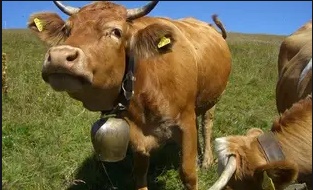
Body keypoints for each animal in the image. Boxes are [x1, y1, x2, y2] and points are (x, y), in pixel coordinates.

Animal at [28, 1, 230, 189]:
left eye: (116, 32)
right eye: (67, 29)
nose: (59, 57)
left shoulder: (185, 121)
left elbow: (188, 174)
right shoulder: (135, 133)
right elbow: (140, 173)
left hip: (213, 99)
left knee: (206, 124)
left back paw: (206, 160)